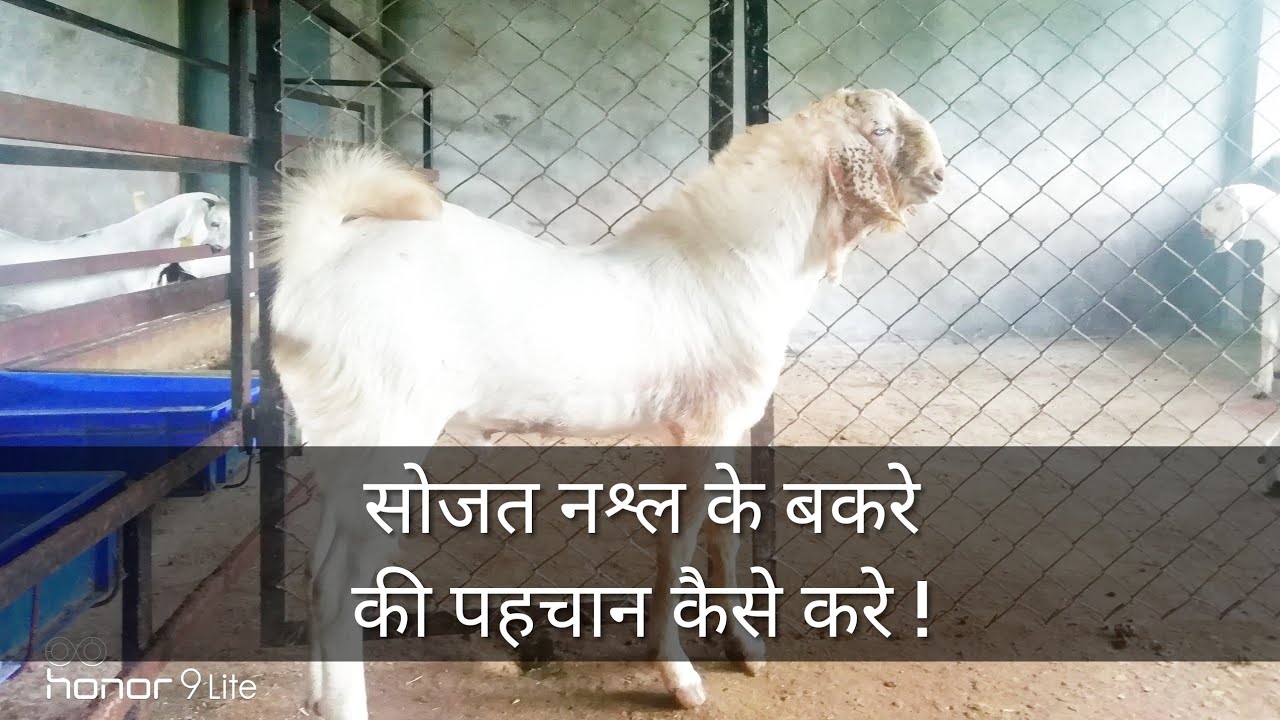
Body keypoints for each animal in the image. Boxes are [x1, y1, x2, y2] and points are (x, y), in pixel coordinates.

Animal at [265, 87, 947, 720]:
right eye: (881, 131)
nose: (941, 175)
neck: (736, 263)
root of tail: (319, 256)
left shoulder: (721, 426)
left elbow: (723, 536)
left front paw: (744, 649)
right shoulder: (703, 426)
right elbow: (677, 545)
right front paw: (679, 678)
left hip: (342, 441)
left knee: (317, 571)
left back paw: (319, 698)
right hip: (387, 429)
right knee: (339, 589)